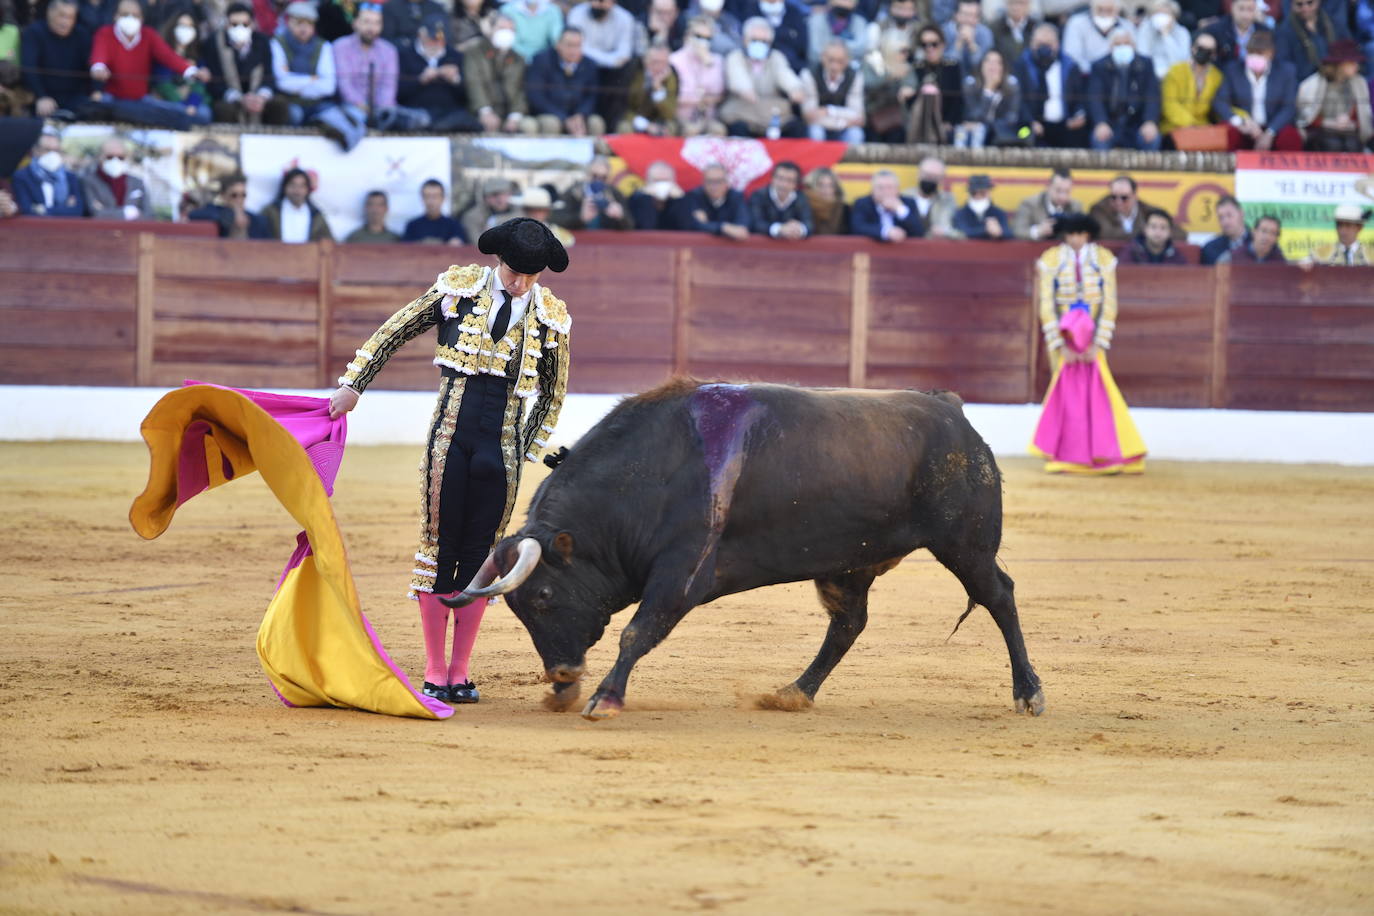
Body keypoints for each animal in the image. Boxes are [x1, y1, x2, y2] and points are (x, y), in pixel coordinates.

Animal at [442, 379, 1038, 725]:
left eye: (543, 595)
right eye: (518, 608)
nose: (562, 674)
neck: (649, 476)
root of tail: (952, 413)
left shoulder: (682, 573)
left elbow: (638, 630)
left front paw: (604, 698)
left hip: (965, 542)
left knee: (1000, 596)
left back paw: (1028, 693)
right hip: (850, 562)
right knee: (848, 625)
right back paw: (793, 692)